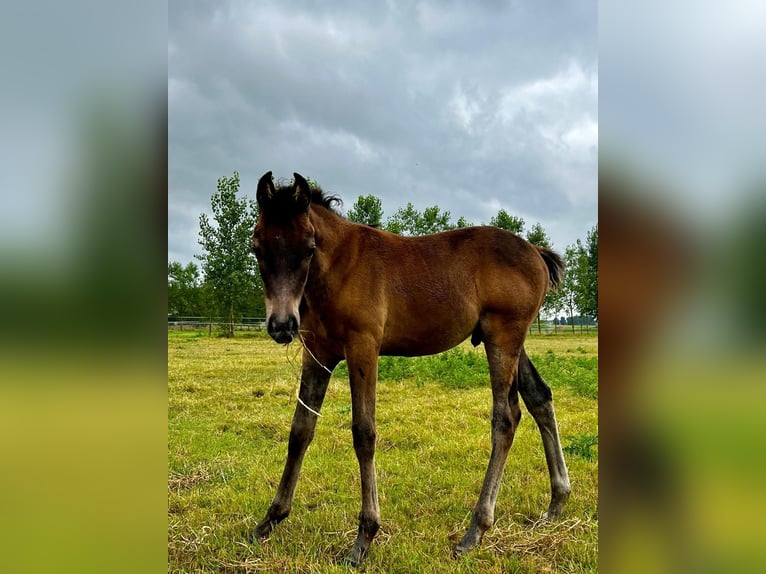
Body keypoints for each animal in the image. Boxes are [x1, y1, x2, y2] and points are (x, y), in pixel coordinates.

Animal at [250, 171, 568, 568]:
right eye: (257, 247)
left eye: (308, 248)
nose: (282, 325)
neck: (339, 267)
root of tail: (536, 252)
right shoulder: (317, 355)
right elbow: (300, 431)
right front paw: (271, 518)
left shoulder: (363, 348)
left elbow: (364, 432)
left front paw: (364, 538)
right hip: (512, 340)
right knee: (540, 397)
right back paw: (557, 502)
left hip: (503, 336)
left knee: (506, 418)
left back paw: (475, 531)